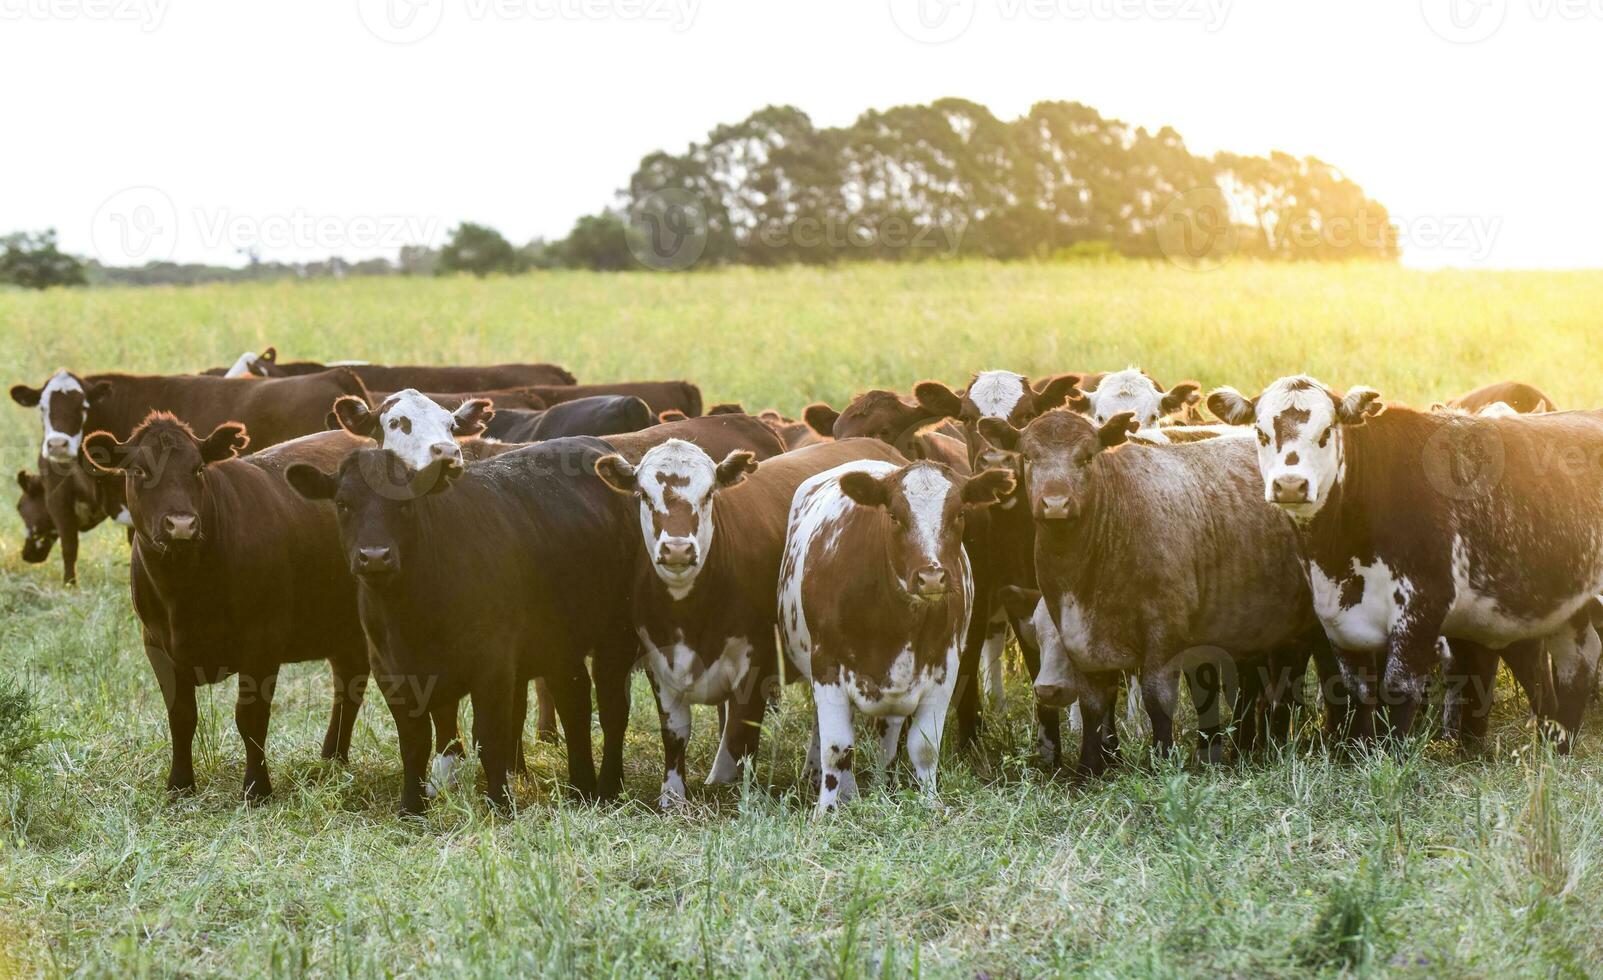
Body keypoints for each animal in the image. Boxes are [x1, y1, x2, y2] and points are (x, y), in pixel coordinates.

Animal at [288, 442, 644, 811]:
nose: (374, 556)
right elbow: (414, 743)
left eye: (405, 503)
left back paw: (607, 788)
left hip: (617, 634)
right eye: (343, 504)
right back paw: (581, 788)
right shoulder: (390, 672)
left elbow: (490, 736)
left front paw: (500, 805)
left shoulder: (492, 665)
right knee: (574, 703)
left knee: (612, 709)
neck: (411, 616)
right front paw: (411, 808)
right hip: (560, 644)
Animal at [596, 439, 910, 808]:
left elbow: (741, 734)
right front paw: (672, 797)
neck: (690, 615)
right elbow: (675, 735)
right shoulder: (659, 663)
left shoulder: (757, 666)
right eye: (644, 494)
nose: (677, 549)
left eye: (708, 493)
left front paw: (737, 792)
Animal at [779, 458, 1013, 811]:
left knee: (887, 740)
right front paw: (828, 810)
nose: (931, 577)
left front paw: (930, 803)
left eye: (959, 513)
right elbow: (836, 748)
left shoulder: (944, 670)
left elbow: (924, 747)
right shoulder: (826, 665)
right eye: (893, 515)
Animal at [981, 410, 1333, 779]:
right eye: (1027, 457)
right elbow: (1093, 704)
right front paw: (1088, 769)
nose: (1055, 504)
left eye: (1087, 457)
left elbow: (1157, 698)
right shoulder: (1078, 635)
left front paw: (1162, 758)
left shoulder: (1165, 632)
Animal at [1205, 375, 1603, 744]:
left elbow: (1398, 689)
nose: (1290, 484)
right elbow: (1357, 693)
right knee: (1577, 659)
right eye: (1260, 431)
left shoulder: (1422, 606)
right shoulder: (1338, 619)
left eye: (1327, 431)